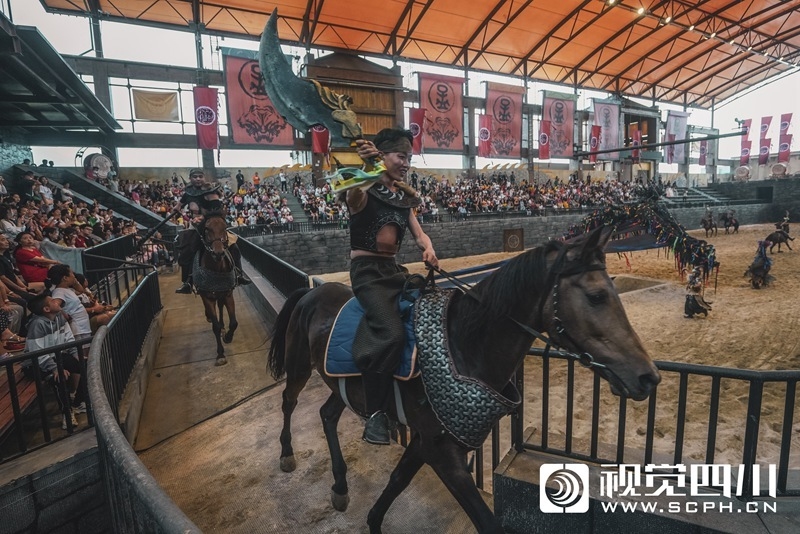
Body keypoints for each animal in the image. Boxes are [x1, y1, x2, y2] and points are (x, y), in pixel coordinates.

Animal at [194, 213, 238, 365]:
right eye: (207, 229)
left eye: (225, 227)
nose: (218, 253)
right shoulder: (207, 297)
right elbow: (215, 327)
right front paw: (220, 354)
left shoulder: (228, 294)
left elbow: (233, 322)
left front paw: (228, 337)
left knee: (220, 307)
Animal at [266, 227, 660, 532]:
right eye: (596, 296)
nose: (648, 376)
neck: (462, 346)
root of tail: (313, 291)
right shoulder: (444, 454)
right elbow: (485, 522)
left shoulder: (426, 441)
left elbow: (396, 482)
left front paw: (374, 521)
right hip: (299, 367)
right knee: (288, 402)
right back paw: (286, 454)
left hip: (345, 386)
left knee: (327, 415)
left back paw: (339, 485)